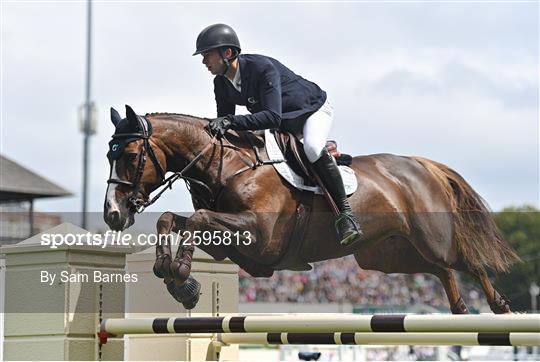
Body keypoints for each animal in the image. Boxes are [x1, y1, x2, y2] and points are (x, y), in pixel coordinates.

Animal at [102, 105, 520, 314]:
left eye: (131, 155)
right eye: (109, 154)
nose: (112, 214)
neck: (227, 164)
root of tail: (420, 164)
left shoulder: (259, 235)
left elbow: (197, 220)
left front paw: (183, 279)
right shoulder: (234, 247)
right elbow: (171, 220)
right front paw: (175, 279)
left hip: (430, 239)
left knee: (465, 262)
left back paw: (499, 306)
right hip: (387, 257)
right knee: (442, 270)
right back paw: (461, 308)